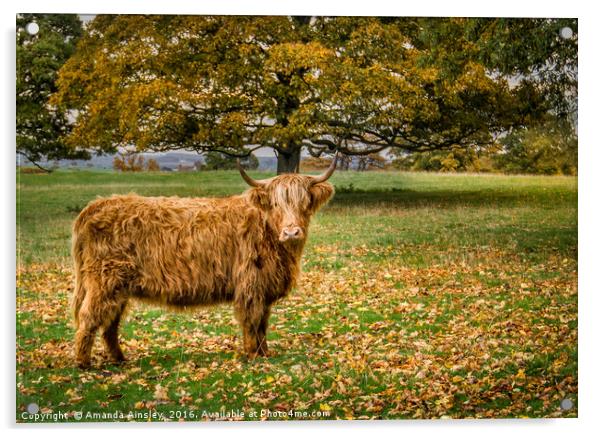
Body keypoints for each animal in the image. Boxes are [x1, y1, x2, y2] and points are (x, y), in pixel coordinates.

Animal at [69, 155, 338, 366]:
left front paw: (265, 353)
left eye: (304, 202)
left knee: (110, 322)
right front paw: (253, 354)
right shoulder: (251, 285)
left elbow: (263, 322)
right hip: (103, 280)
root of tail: (96, 205)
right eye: (274, 204)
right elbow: (253, 321)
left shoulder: (264, 287)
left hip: (118, 287)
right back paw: (83, 363)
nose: (292, 232)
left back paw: (119, 358)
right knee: (89, 316)